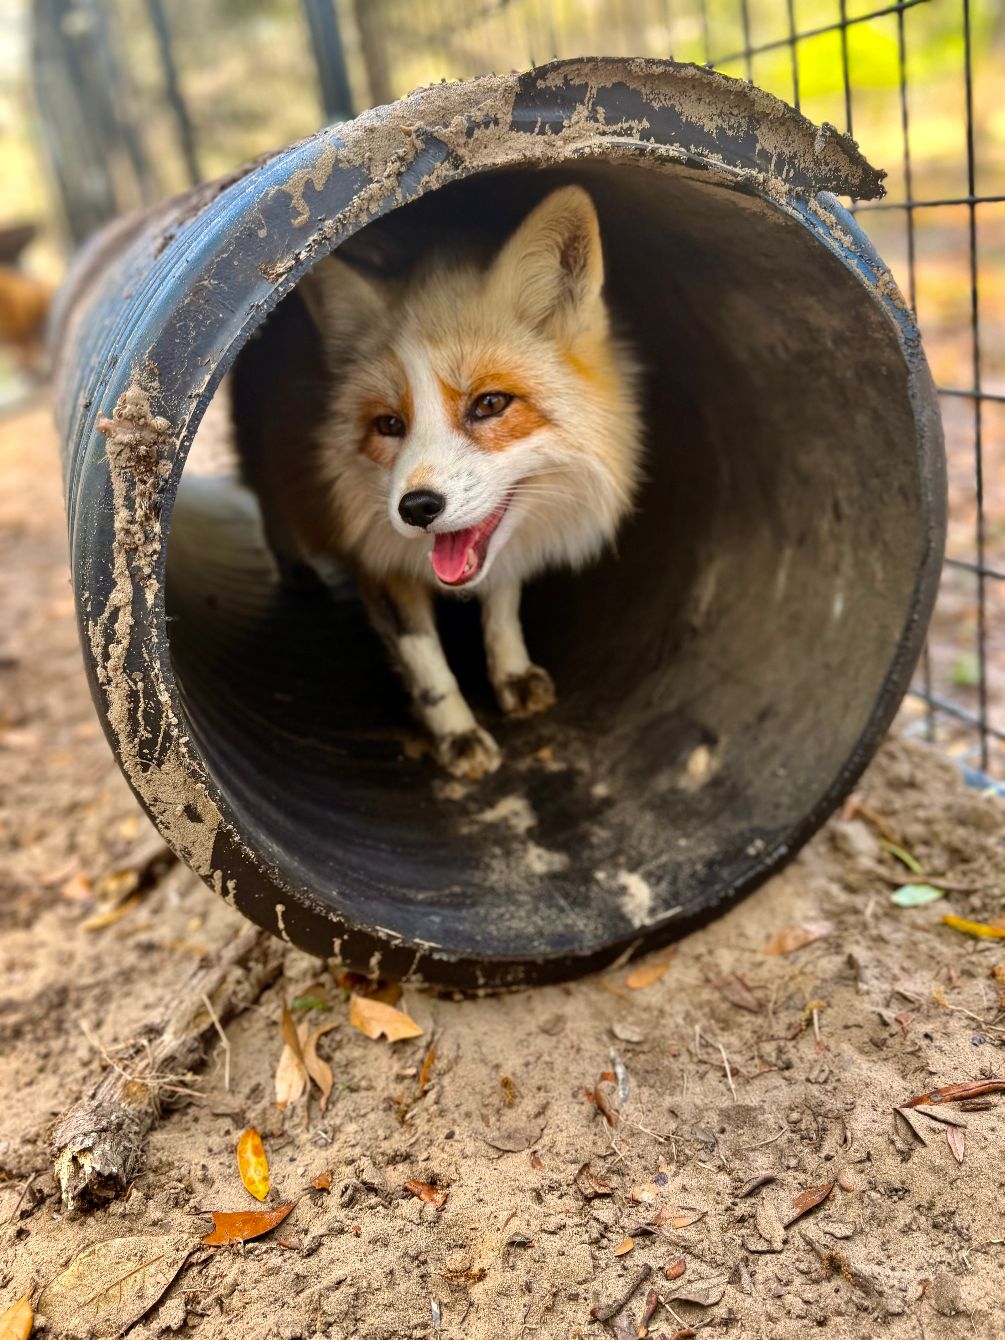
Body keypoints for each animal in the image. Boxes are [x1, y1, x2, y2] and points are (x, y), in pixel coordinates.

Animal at [238, 185, 644, 779]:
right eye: (389, 424)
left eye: (490, 404)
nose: (417, 508)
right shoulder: (375, 557)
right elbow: (425, 661)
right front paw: (456, 733)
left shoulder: (497, 552)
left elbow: (502, 608)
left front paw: (510, 672)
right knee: (267, 502)